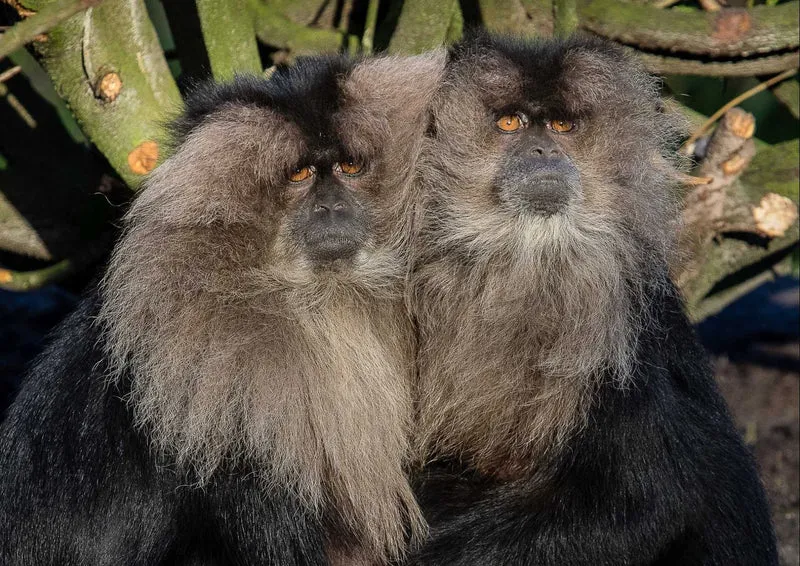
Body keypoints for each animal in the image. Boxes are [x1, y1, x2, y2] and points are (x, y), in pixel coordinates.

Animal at [406, 32, 778, 566]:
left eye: (562, 125)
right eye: (510, 123)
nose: (541, 149)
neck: (528, 260)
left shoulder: (628, 343)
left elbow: (650, 502)